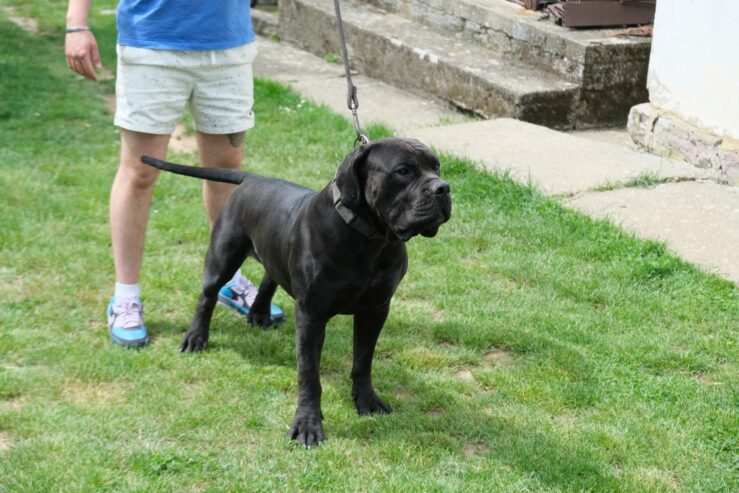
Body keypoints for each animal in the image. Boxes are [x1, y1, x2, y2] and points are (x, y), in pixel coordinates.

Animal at [141, 137, 448, 446]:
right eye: (403, 171)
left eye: (436, 166)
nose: (443, 188)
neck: (369, 239)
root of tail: (253, 178)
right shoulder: (311, 316)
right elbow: (309, 374)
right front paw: (308, 425)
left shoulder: (375, 309)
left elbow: (363, 360)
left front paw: (366, 401)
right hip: (222, 257)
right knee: (208, 296)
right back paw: (196, 338)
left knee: (269, 277)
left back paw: (259, 314)